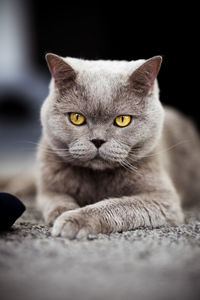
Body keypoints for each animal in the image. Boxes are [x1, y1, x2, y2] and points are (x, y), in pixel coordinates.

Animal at [36, 52, 200, 239]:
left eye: (123, 120)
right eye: (76, 118)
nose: (98, 140)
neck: (97, 179)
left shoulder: (164, 199)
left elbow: (119, 205)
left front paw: (73, 220)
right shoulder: (47, 188)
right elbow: (55, 199)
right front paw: (62, 213)